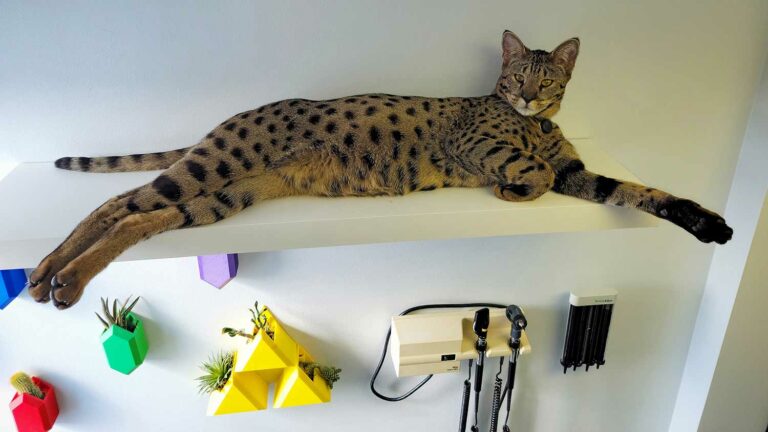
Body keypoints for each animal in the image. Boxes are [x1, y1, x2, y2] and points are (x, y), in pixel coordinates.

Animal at [28, 32, 732, 308]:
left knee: (141, 216)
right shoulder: (482, 145)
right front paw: (511, 194)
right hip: (217, 164)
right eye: (516, 79)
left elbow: (642, 191)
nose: (530, 99)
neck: (536, 125)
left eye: (549, 81)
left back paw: (50, 276)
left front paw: (710, 224)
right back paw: (57, 275)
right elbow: (527, 173)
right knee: (118, 204)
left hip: (229, 196)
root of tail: (232, 118)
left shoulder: (576, 174)